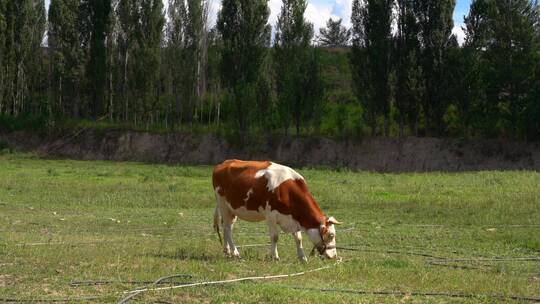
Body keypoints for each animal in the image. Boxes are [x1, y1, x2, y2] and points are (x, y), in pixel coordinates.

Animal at [212, 159, 342, 262]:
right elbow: (275, 237)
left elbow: (298, 238)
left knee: (227, 227)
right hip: (223, 204)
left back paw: (227, 251)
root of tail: (224, 163)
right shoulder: (271, 216)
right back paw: (235, 252)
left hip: (232, 209)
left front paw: (302, 258)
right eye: (331, 235)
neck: (288, 191)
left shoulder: (293, 218)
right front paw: (275, 257)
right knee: (227, 229)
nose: (334, 256)